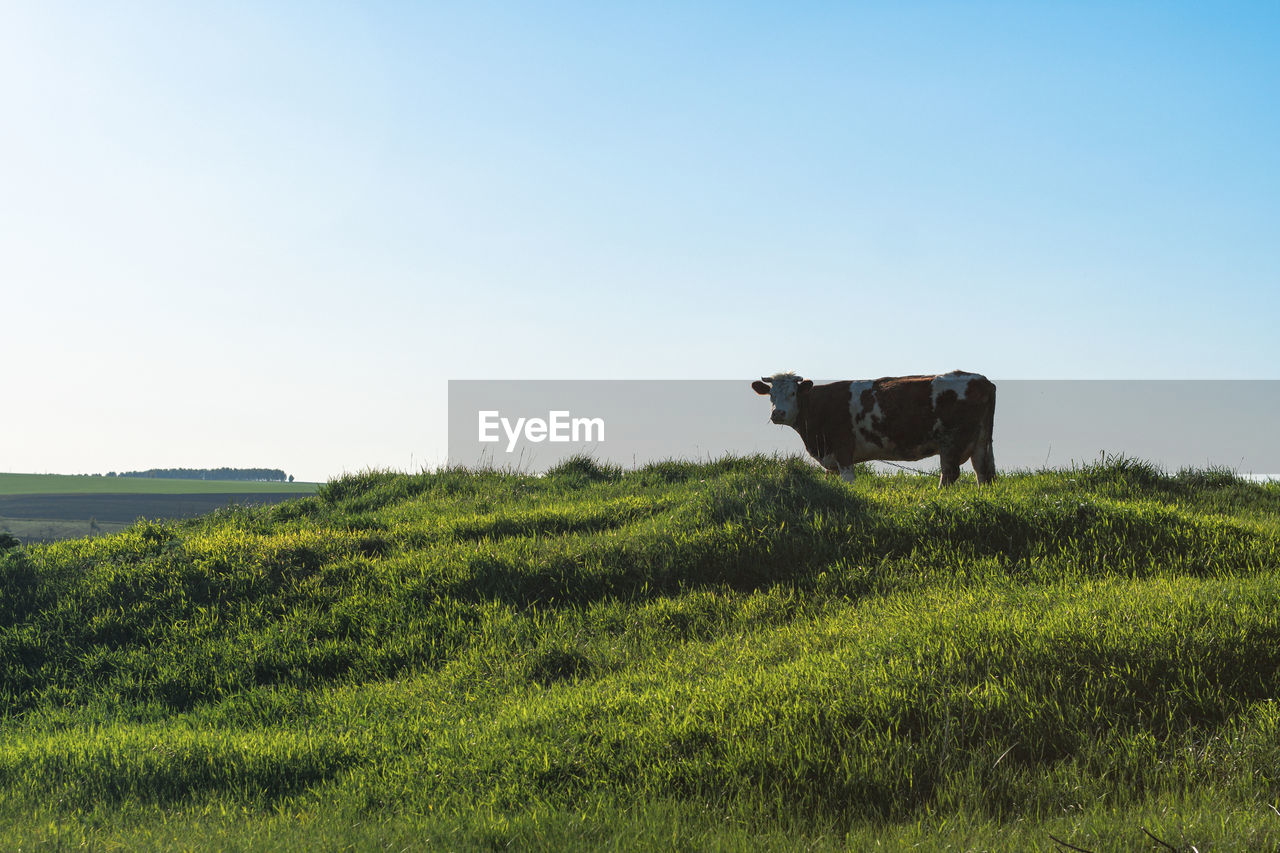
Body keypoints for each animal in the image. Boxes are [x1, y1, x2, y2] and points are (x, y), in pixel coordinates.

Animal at [752, 370, 997, 487]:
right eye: (771, 395)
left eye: (793, 393)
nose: (778, 414)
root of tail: (982, 380)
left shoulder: (843, 449)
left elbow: (848, 480)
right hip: (981, 441)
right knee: (984, 472)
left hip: (952, 442)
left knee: (950, 473)